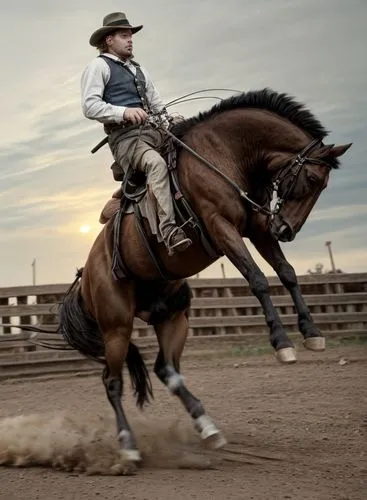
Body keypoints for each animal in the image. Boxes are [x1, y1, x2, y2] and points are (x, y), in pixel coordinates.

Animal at [59, 89, 352, 460]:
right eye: (313, 179)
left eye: (324, 184)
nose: (287, 230)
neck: (223, 154)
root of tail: (86, 275)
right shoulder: (220, 226)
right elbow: (257, 278)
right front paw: (282, 343)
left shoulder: (258, 227)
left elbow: (286, 273)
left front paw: (312, 332)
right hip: (117, 328)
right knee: (112, 382)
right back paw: (128, 446)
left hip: (172, 315)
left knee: (167, 370)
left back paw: (208, 427)